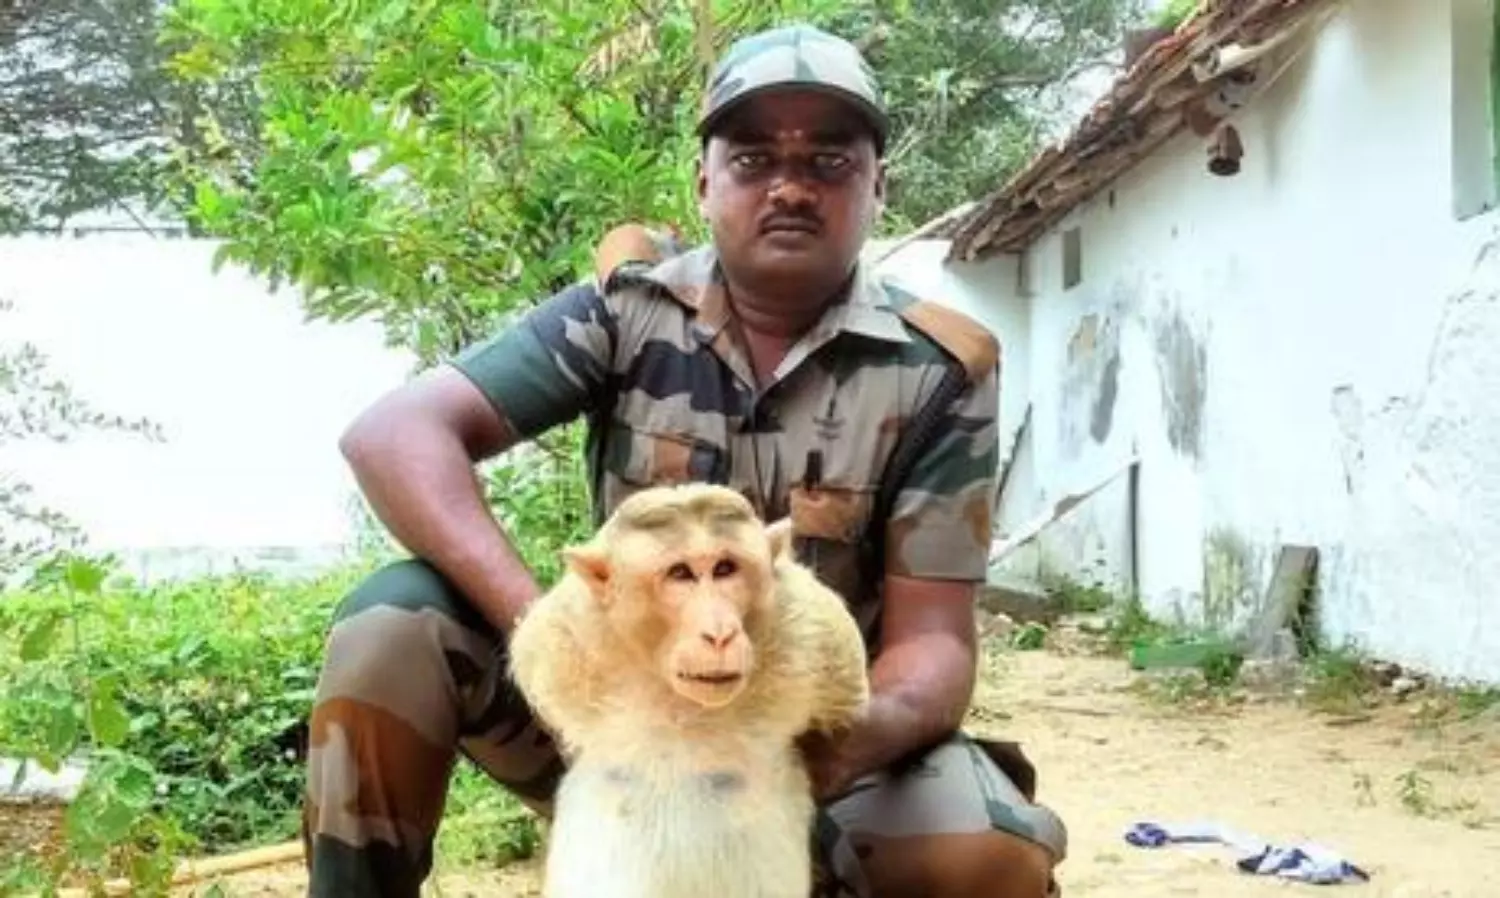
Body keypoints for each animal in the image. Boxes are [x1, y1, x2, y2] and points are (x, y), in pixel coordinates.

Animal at [507, 482, 871, 898]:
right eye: (680, 573)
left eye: (725, 568)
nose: (720, 633)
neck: (680, 700)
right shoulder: (557, 637)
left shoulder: (818, 633)